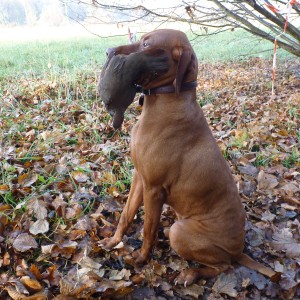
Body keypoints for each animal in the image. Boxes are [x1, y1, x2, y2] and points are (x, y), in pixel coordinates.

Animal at [99, 29, 276, 284]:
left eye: (147, 44)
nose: (108, 51)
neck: (167, 102)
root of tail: (239, 251)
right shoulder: (139, 178)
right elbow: (126, 214)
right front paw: (114, 242)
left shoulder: (153, 188)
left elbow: (148, 229)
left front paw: (141, 259)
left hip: (181, 231)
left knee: (224, 266)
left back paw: (190, 274)